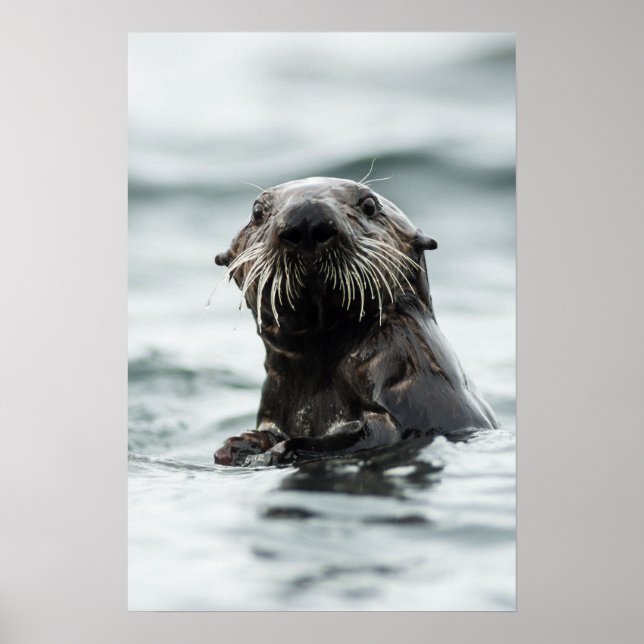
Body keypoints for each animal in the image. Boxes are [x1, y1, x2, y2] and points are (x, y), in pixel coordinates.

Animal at [213, 177, 498, 466]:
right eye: (257, 211)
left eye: (369, 205)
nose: (307, 219)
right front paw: (239, 445)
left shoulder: (404, 368)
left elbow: (375, 434)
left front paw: (276, 451)